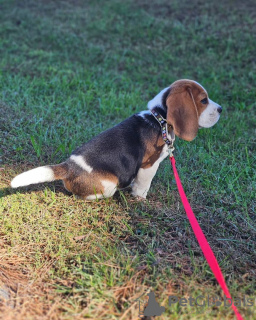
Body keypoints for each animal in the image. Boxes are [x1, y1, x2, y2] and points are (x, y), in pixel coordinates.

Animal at [10, 79, 222, 199]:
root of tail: (69, 166)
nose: (220, 109)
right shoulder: (149, 165)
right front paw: (140, 199)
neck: (158, 118)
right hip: (108, 185)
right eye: (203, 100)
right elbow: (143, 185)